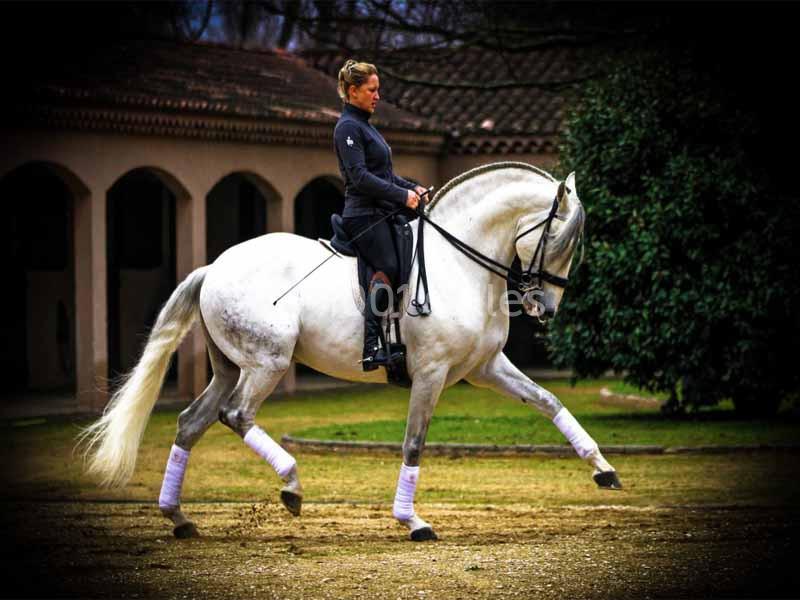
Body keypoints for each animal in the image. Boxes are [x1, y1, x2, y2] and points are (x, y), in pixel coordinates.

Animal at [79, 161, 621, 542]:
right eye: (556, 237)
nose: (542, 307)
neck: (459, 261)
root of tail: (213, 267)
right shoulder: (432, 373)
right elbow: (414, 443)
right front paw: (412, 521)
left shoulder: (485, 367)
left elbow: (548, 402)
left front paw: (604, 469)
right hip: (267, 363)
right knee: (237, 415)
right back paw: (291, 486)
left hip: (230, 367)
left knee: (192, 422)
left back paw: (179, 518)